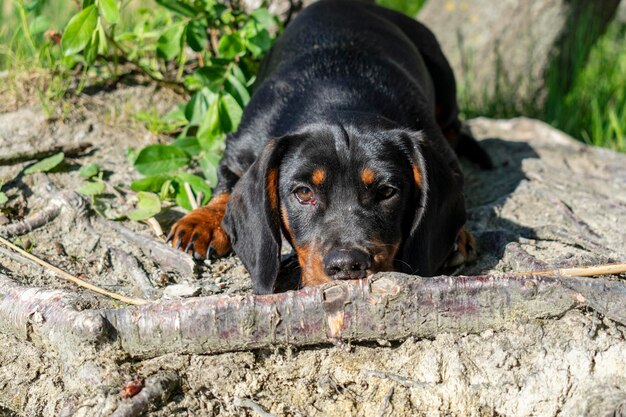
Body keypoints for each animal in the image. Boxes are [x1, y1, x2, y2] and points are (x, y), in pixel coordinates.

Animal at [168, 0, 490, 292]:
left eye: (387, 192)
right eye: (303, 193)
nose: (347, 265)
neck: (337, 94)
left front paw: (456, 237)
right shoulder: (240, 148)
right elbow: (226, 186)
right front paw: (203, 221)